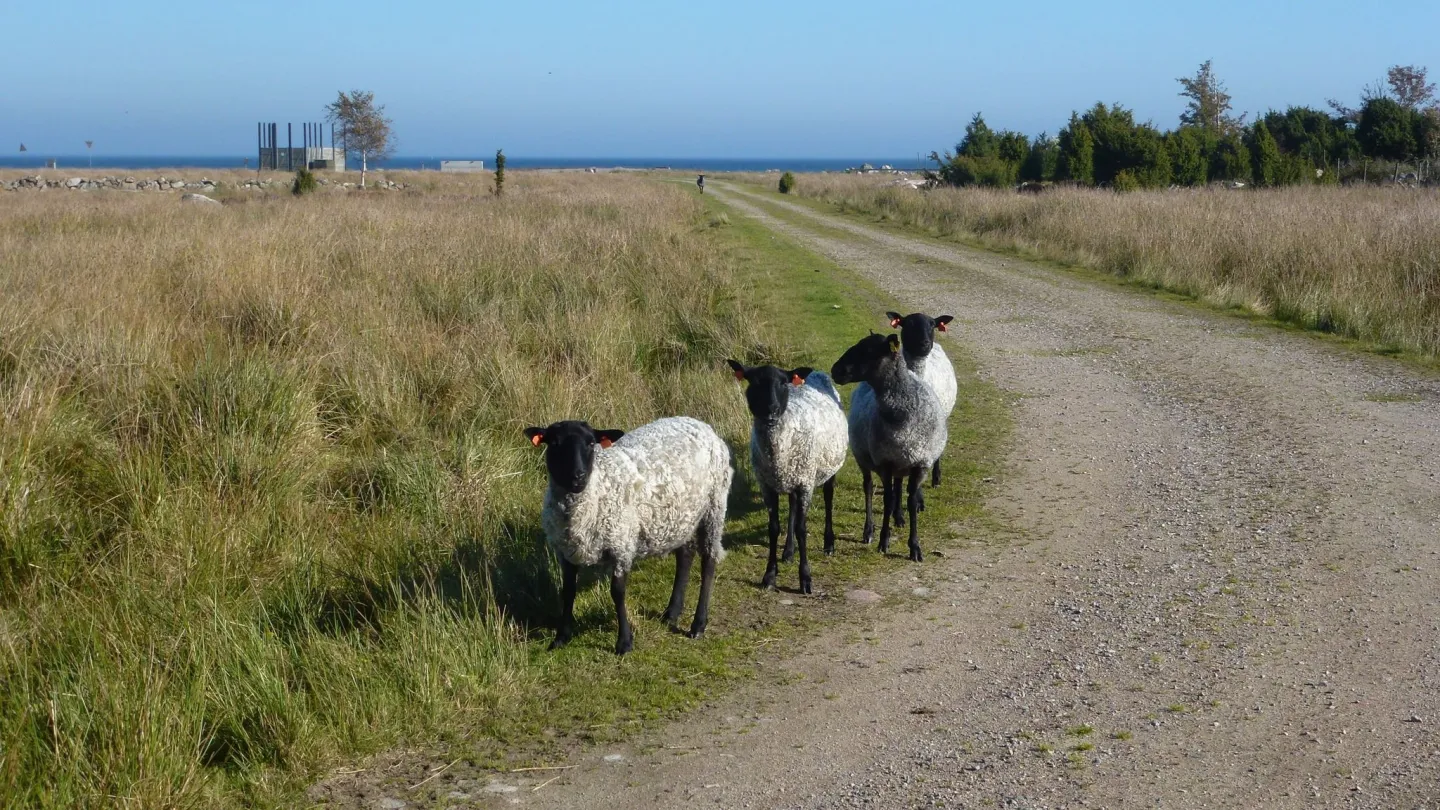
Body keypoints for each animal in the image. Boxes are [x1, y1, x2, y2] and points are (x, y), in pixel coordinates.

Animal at [524, 412, 731, 651]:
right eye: (555, 443)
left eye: (591, 443)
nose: (578, 476)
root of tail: (700, 424)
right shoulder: (565, 551)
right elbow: (568, 591)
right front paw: (561, 637)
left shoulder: (620, 545)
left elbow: (617, 592)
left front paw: (624, 642)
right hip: (682, 517)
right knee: (685, 555)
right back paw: (671, 612)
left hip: (714, 507)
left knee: (709, 560)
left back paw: (698, 624)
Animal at [725, 358, 846, 593]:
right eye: (754, 381)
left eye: (783, 383)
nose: (771, 410)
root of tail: (817, 373)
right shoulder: (767, 485)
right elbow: (774, 528)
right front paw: (769, 575)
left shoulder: (806, 483)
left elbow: (802, 528)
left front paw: (805, 578)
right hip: (792, 476)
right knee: (791, 506)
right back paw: (788, 551)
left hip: (827, 467)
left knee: (828, 499)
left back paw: (829, 544)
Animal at [829, 331, 950, 559]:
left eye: (869, 350)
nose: (835, 370)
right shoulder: (884, 462)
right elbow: (886, 499)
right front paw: (883, 541)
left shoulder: (919, 463)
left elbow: (911, 500)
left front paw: (915, 547)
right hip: (863, 456)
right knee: (868, 487)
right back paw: (869, 530)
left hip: (902, 460)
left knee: (898, 485)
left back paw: (899, 517)